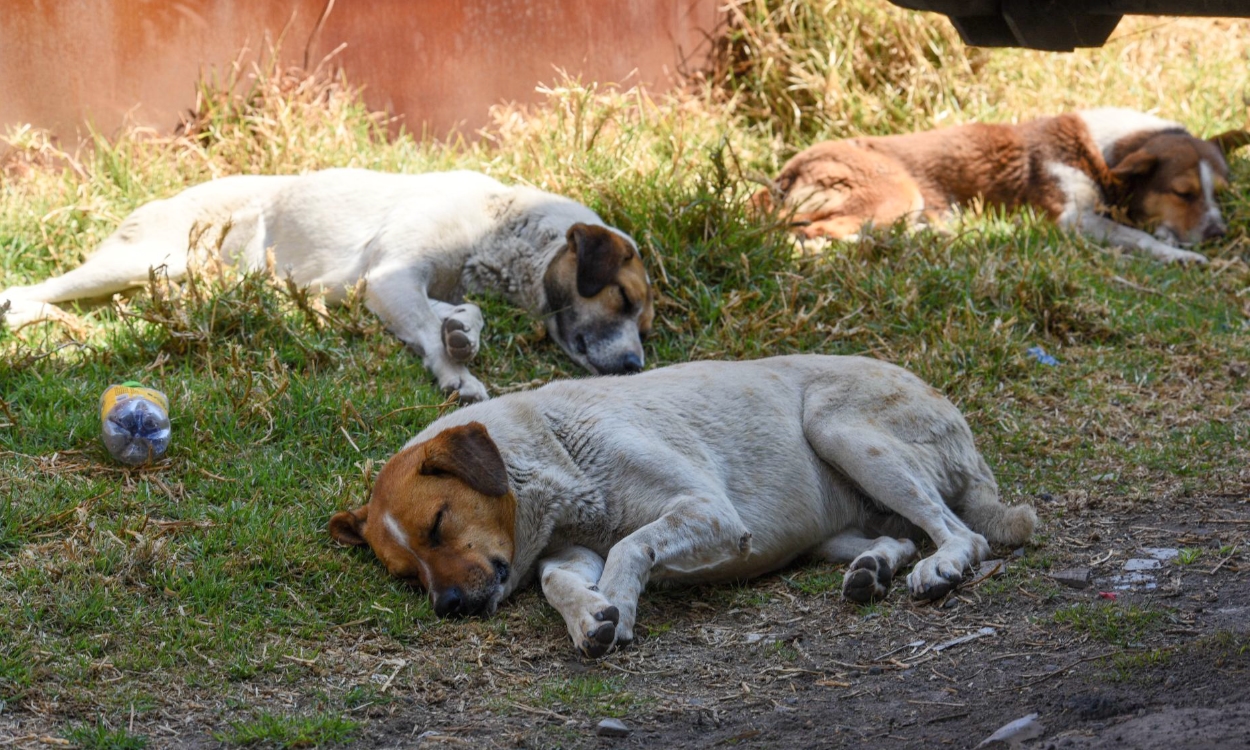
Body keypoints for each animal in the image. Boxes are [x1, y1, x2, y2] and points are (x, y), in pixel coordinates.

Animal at [0, 167, 660, 402]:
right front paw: (457, 373)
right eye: (622, 297)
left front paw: (462, 335)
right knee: (35, 289)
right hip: (137, 259)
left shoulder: (397, 287)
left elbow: (463, 313)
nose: (634, 367)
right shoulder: (389, 279)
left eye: (645, 325)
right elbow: (430, 327)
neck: (496, 225)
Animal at [325, 355, 1035, 655]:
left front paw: (619, 606)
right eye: (407, 575)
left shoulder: (710, 514)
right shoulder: (570, 552)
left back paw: (942, 566)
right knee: (901, 537)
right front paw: (590, 617)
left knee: (960, 535)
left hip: (840, 430)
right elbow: (560, 582)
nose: (447, 608)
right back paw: (873, 570)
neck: (554, 446)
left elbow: (630, 545)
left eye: (439, 523)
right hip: (828, 527)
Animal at [750, 108, 1250, 263]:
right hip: (897, 190)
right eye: (1184, 192)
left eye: (1221, 195)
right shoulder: (1073, 219)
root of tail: (787, 170)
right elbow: (1137, 236)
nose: (1218, 235)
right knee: (814, 232)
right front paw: (1179, 255)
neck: (1101, 152)